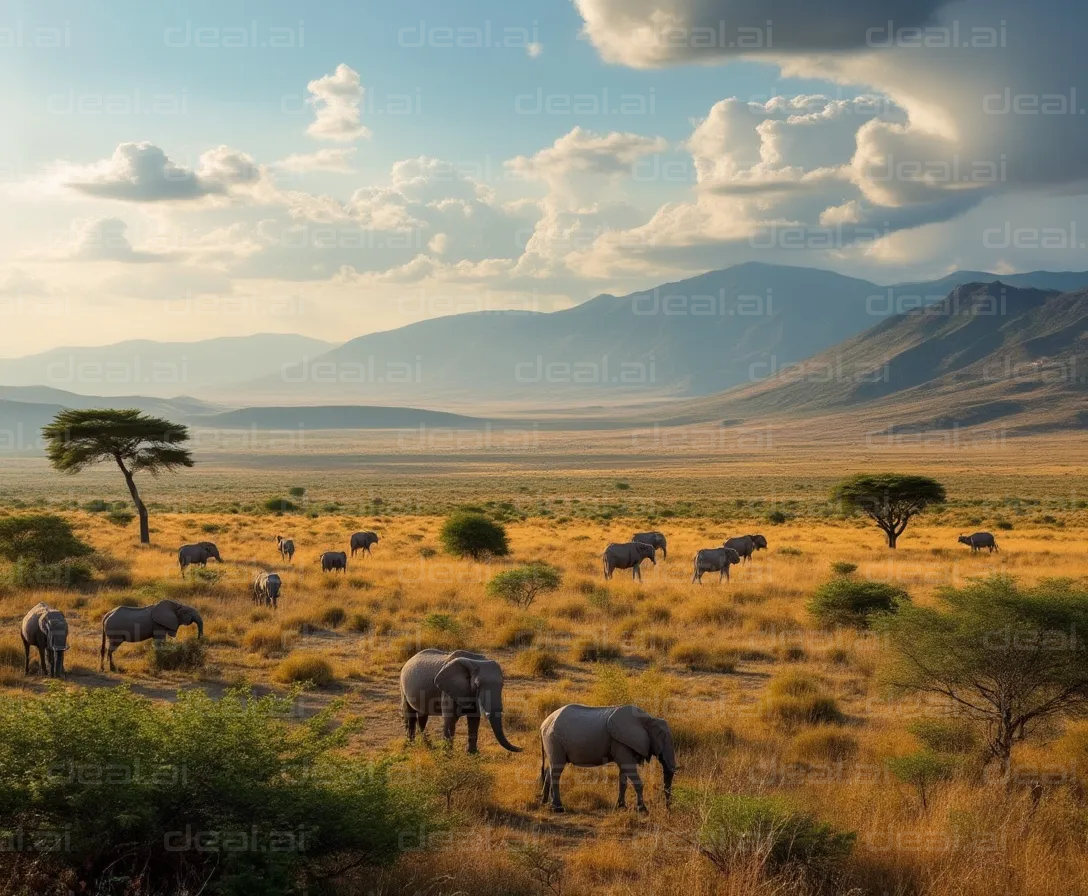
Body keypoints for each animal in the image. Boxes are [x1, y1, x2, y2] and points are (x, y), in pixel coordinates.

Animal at [540, 704, 677, 814]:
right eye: (661, 736)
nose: (667, 809)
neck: (647, 719)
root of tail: (543, 724)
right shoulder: (621, 742)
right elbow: (629, 769)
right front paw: (642, 810)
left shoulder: (622, 742)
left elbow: (624, 773)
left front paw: (621, 807)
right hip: (554, 739)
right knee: (556, 770)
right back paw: (558, 809)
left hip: (552, 741)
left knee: (550, 769)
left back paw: (544, 802)